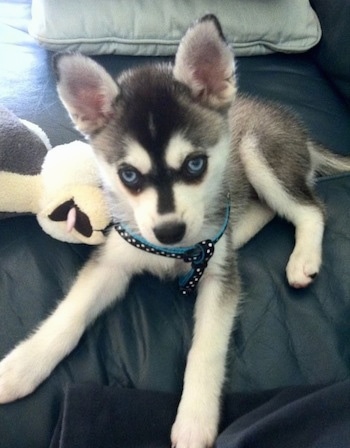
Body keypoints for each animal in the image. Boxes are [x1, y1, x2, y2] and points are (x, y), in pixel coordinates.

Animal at [0, 14, 350, 448]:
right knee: (267, 210)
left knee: (310, 209)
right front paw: (23, 365)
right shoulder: (113, 260)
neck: (173, 252)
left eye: (195, 164)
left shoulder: (219, 280)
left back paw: (303, 258)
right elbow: (70, 315)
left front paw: (196, 419)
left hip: (258, 152)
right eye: (128, 175)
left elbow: (207, 348)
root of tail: (288, 120)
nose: (169, 232)